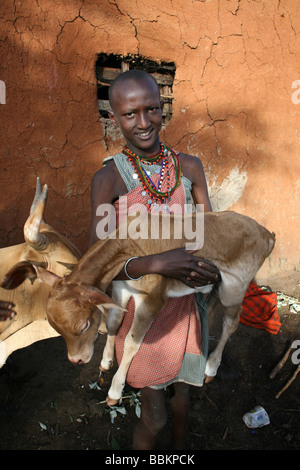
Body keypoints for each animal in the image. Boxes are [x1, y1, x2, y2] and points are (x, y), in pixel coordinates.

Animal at [1, 210, 274, 404]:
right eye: (55, 327)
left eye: (84, 325)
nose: (76, 360)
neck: (129, 243)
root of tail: (266, 233)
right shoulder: (120, 289)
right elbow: (113, 324)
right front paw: (106, 361)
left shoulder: (151, 300)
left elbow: (133, 341)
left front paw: (115, 390)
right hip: (217, 282)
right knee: (213, 306)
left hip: (235, 287)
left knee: (231, 322)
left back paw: (211, 367)